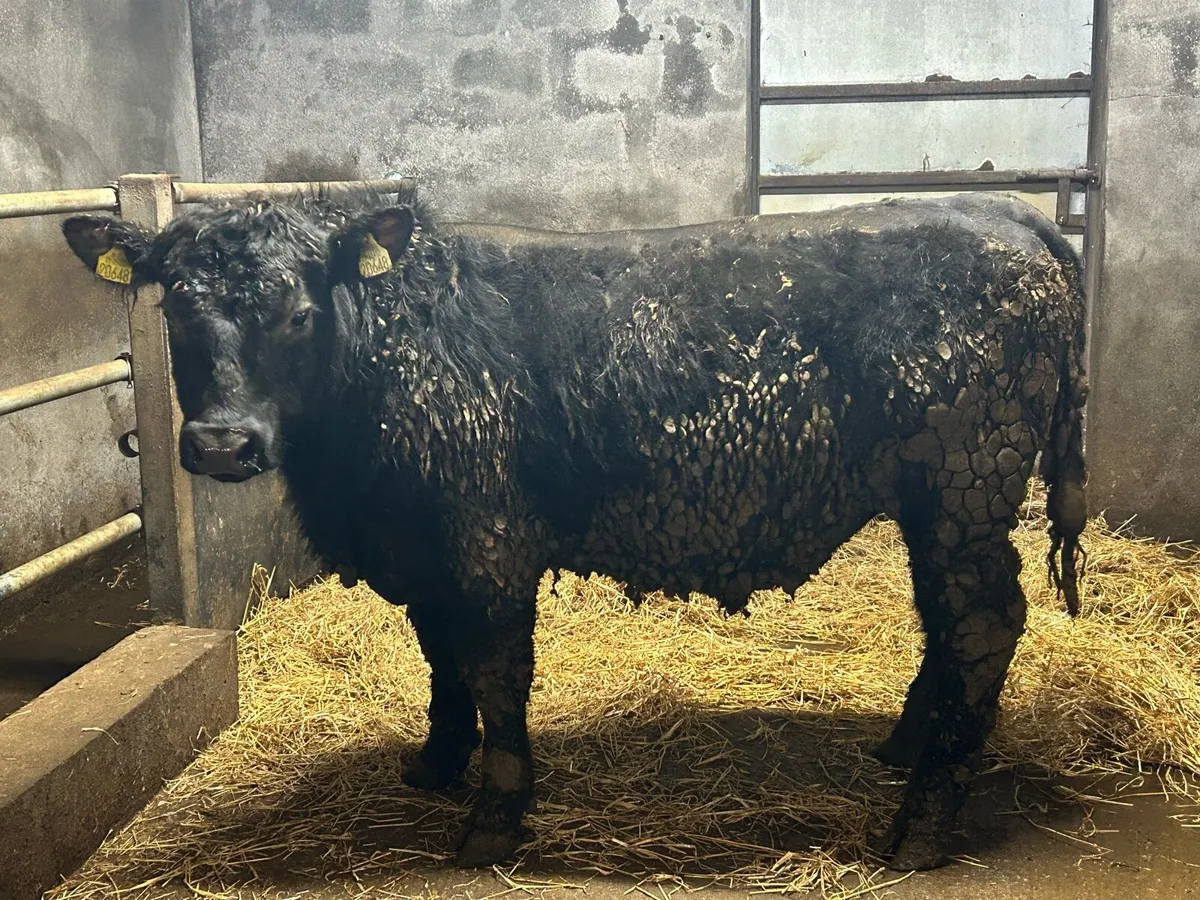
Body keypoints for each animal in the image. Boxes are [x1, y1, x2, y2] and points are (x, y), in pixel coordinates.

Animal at [62, 189, 1087, 872]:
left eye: (298, 312)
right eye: (175, 306)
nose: (221, 442)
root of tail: (1003, 214)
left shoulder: (485, 539)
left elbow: (493, 669)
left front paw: (494, 816)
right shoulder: (419, 548)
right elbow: (439, 657)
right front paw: (436, 762)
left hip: (965, 486)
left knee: (983, 623)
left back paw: (921, 821)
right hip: (937, 503)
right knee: (948, 625)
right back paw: (910, 746)